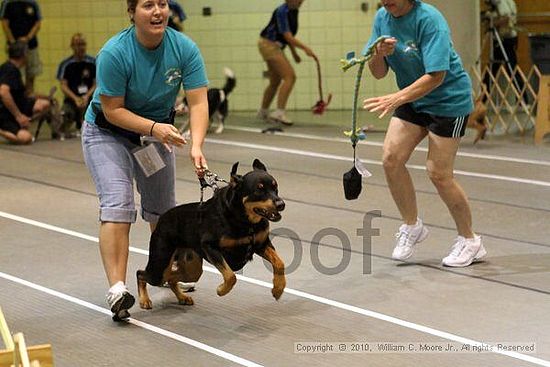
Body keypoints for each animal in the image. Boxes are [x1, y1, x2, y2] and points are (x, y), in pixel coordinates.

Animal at [138, 160, 286, 310]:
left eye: (275, 187)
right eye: (258, 189)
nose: (281, 204)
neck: (245, 220)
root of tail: (162, 218)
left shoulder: (262, 244)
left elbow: (280, 263)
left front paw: (278, 289)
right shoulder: (210, 246)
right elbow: (231, 276)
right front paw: (221, 290)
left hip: (192, 268)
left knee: (172, 279)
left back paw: (183, 298)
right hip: (160, 264)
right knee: (141, 274)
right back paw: (144, 300)